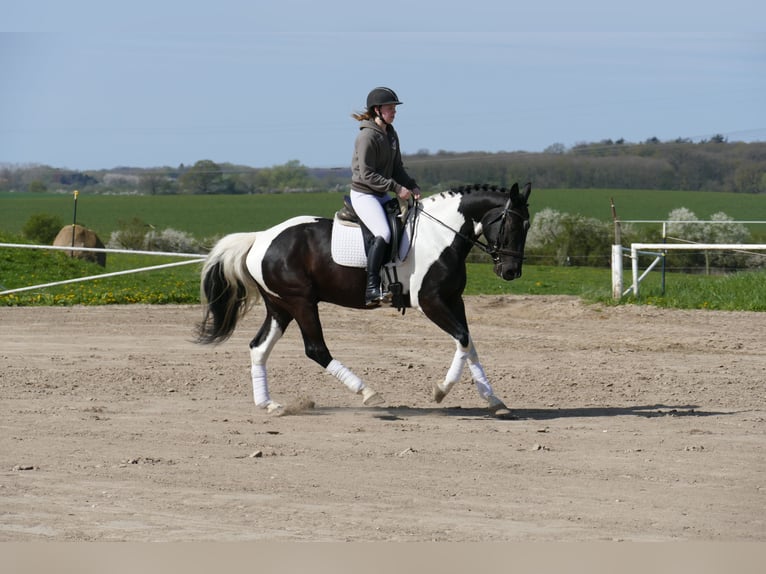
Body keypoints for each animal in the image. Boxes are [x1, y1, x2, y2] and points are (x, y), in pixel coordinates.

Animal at [198, 182, 536, 416]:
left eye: (528, 225)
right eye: (510, 223)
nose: (511, 272)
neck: (442, 236)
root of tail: (261, 237)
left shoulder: (455, 301)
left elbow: (468, 344)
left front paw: (494, 400)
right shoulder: (431, 302)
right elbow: (463, 339)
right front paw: (440, 390)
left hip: (280, 306)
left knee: (258, 348)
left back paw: (269, 404)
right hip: (301, 302)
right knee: (316, 349)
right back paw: (368, 393)